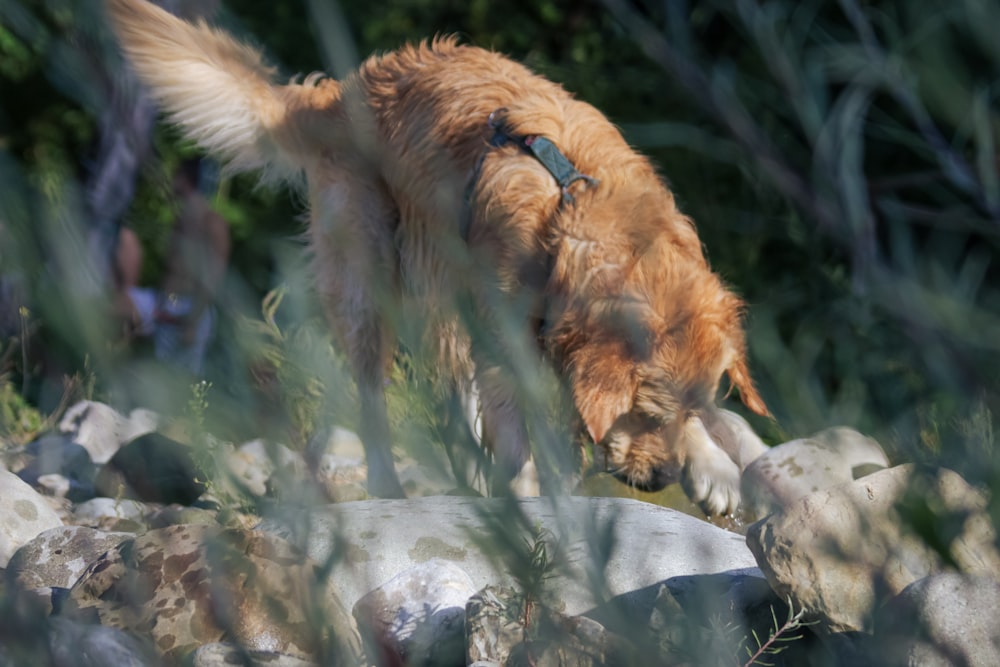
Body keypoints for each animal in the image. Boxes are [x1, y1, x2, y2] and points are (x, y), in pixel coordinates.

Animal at [107, 0, 764, 516]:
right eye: (642, 414)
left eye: (687, 410)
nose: (659, 479)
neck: (573, 209)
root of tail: (342, 91)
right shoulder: (507, 345)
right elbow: (517, 432)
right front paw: (531, 499)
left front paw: (714, 467)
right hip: (370, 282)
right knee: (375, 399)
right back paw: (393, 485)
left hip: (443, 298)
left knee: (453, 395)